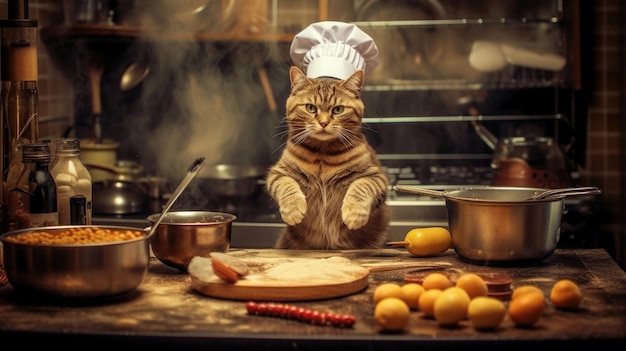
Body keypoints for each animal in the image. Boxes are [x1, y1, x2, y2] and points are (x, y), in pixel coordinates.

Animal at [264, 21, 390, 250]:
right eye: (310, 108)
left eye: (338, 110)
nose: (323, 122)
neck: (322, 155)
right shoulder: (278, 173)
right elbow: (286, 186)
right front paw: (294, 209)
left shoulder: (376, 176)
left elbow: (360, 187)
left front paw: (354, 214)